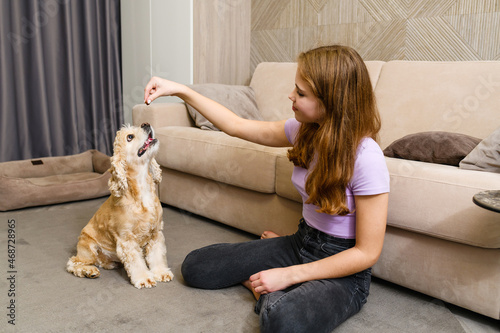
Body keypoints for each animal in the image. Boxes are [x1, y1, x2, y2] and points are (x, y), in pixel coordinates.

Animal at [67, 122, 174, 288]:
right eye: (129, 137)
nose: (145, 124)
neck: (142, 188)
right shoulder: (126, 239)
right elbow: (136, 262)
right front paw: (144, 278)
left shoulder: (156, 233)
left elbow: (157, 256)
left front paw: (161, 273)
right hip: (88, 248)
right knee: (73, 262)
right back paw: (89, 271)